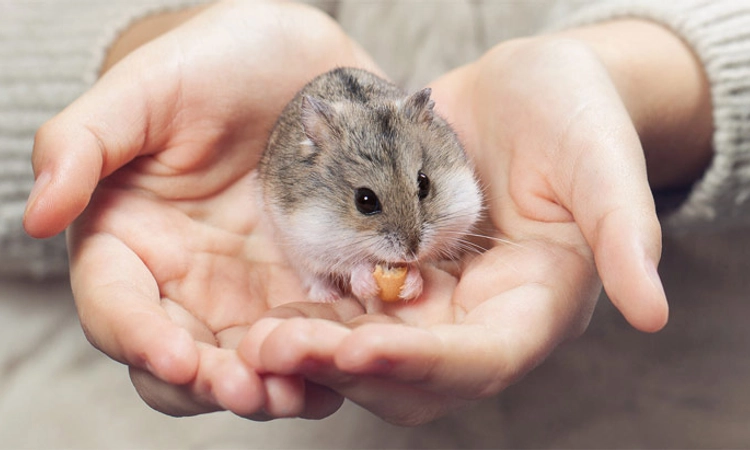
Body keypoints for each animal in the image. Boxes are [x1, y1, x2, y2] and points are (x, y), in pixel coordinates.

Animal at [259, 67, 482, 312]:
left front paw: (412, 284)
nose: (411, 252)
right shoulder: (309, 240)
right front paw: (364, 283)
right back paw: (328, 297)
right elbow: (349, 265)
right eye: (365, 201)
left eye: (424, 183)